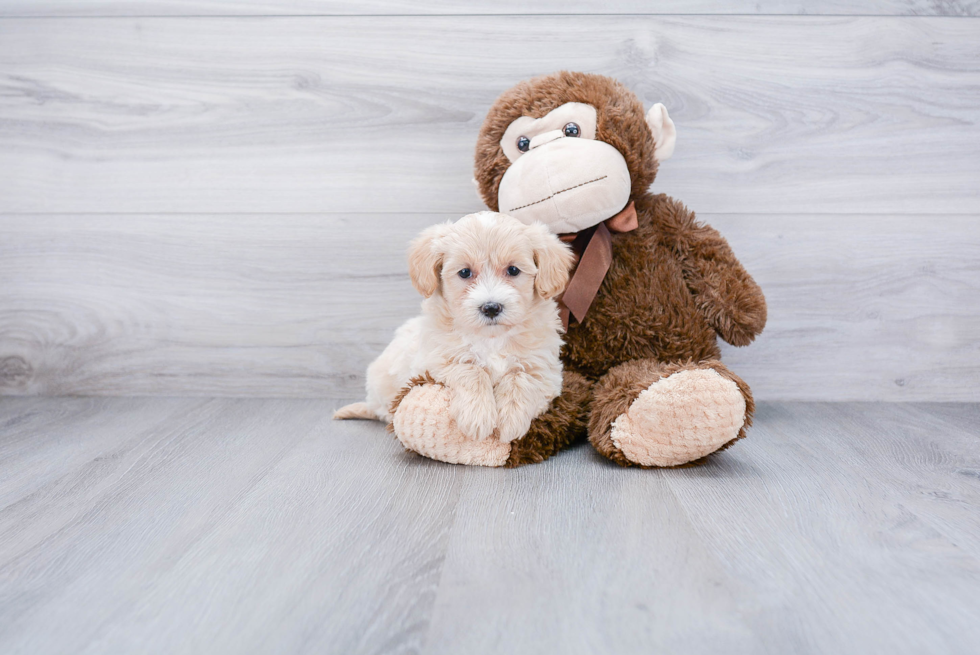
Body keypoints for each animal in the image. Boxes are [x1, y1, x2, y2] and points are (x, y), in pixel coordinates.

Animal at [334, 213, 576, 444]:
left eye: (513, 270)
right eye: (465, 273)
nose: (491, 308)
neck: (491, 338)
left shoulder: (544, 369)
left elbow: (521, 378)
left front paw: (511, 420)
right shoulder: (434, 362)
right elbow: (470, 369)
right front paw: (478, 417)